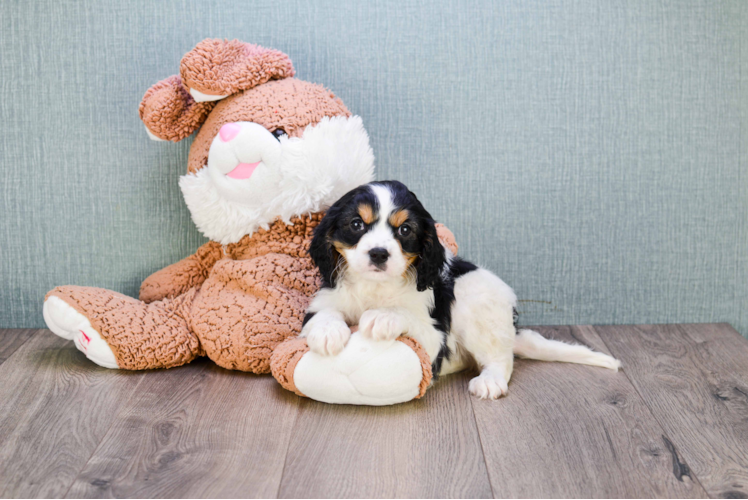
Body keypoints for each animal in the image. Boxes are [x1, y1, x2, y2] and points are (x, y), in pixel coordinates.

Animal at [298, 180, 620, 398]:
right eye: (356, 224)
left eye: (405, 230)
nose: (379, 253)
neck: (375, 287)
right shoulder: (323, 300)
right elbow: (324, 314)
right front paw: (327, 332)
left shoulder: (432, 340)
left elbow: (406, 315)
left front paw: (383, 316)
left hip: (476, 305)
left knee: (501, 359)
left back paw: (490, 381)